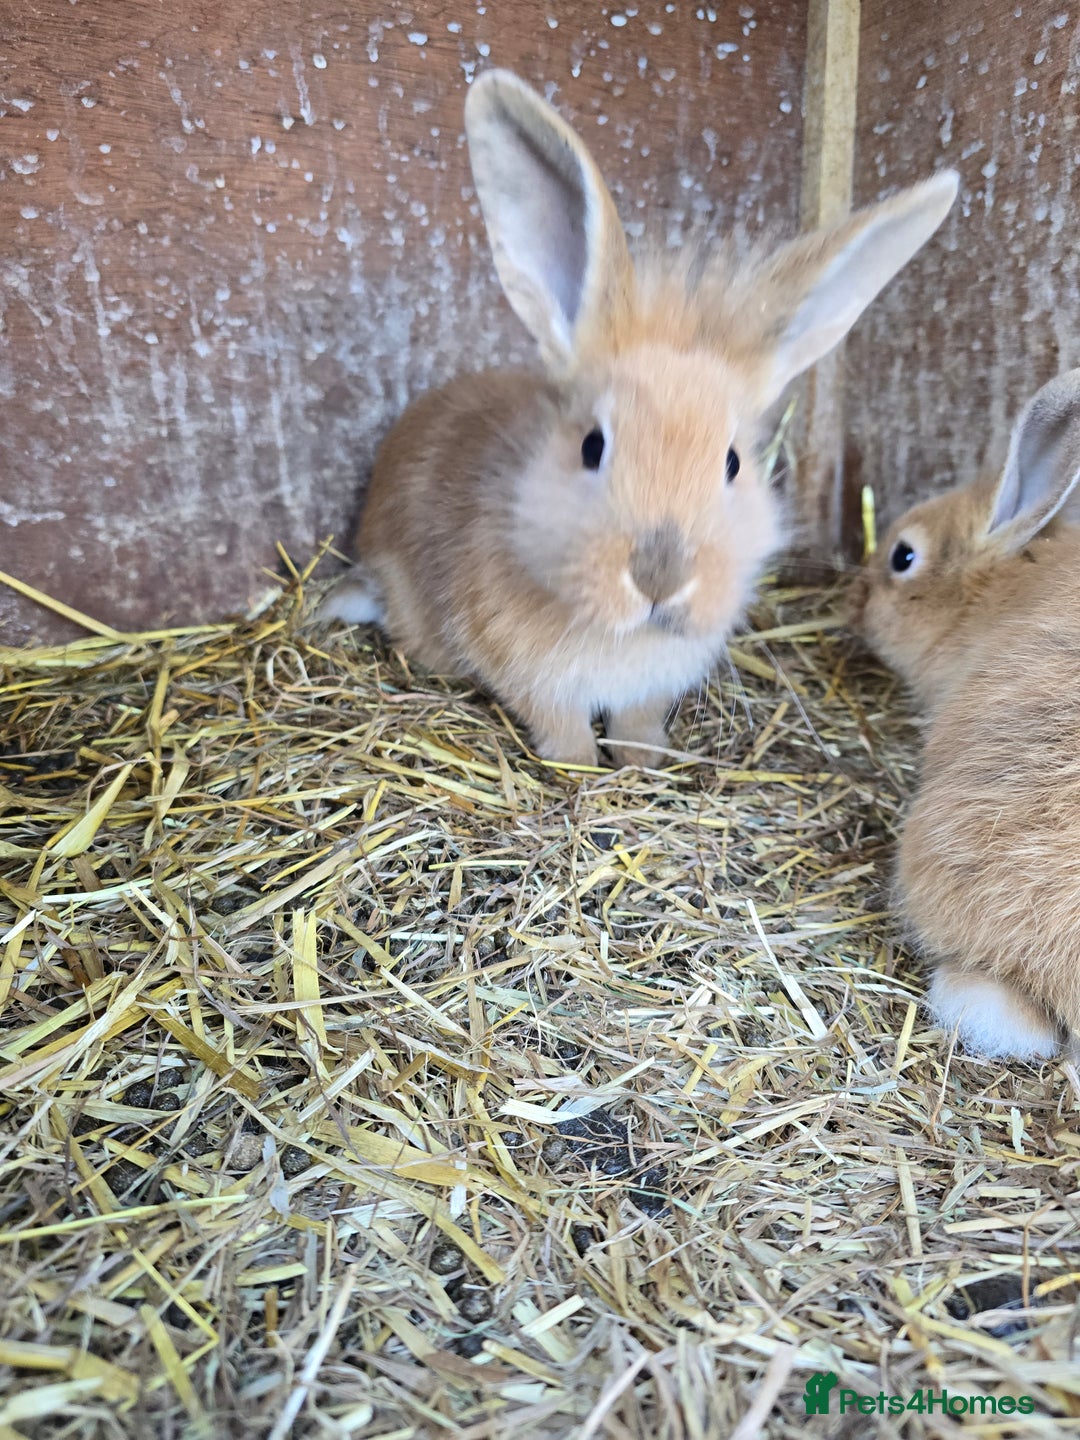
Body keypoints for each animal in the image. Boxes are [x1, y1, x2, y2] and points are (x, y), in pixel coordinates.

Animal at [322, 68, 958, 768]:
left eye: (733, 463)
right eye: (592, 447)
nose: (661, 576)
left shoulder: (654, 685)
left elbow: (637, 722)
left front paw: (646, 763)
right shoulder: (534, 680)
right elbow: (562, 728)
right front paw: (580, 768)